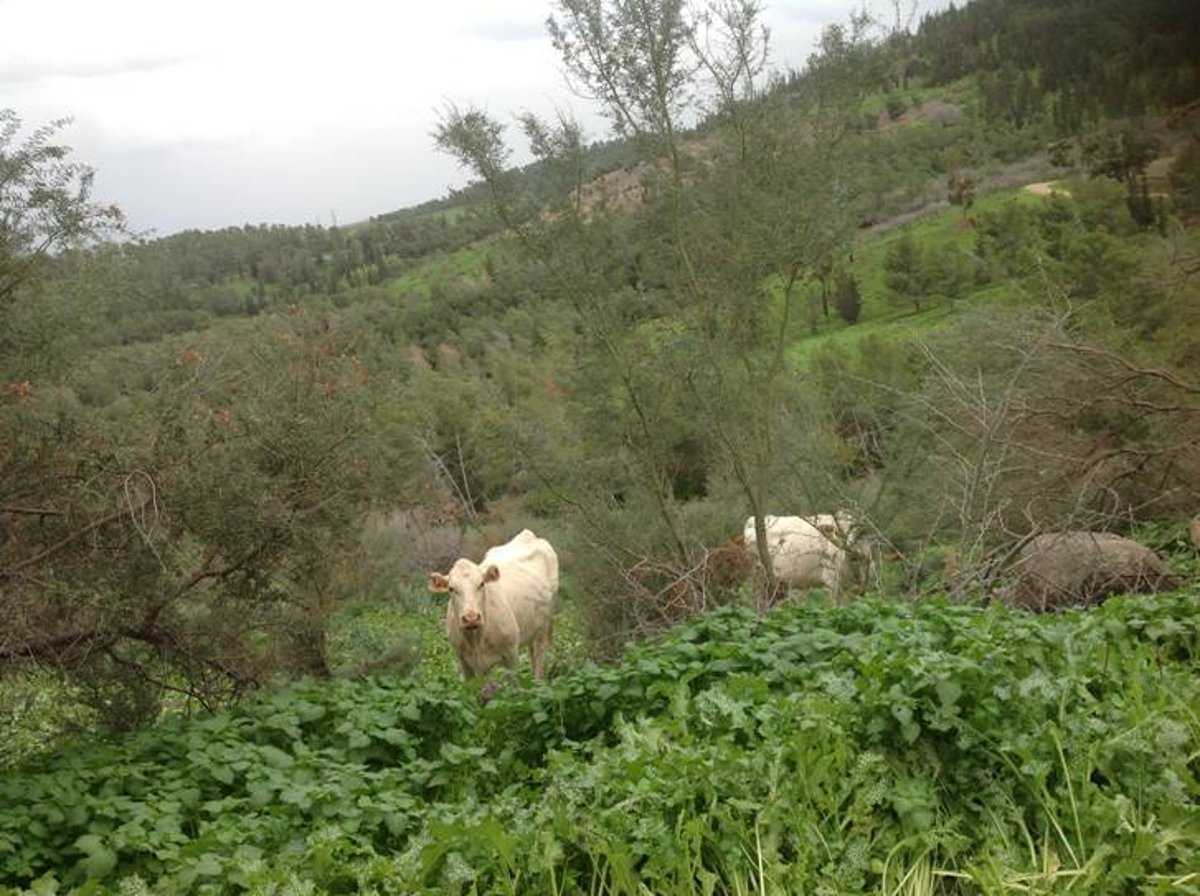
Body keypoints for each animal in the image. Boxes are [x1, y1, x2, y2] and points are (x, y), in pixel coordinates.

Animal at [429, 525, 559, 681]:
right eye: (451, 589)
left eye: (481, 584)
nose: (471, 618)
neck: (476, 640)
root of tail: (527, 535)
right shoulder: (464, 661)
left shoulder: (511, 655)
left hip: (543, 628)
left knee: (538, 658)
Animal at [739, 515, 873, 599]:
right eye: (837, 533)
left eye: (857, 535)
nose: (847, 548)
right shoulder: (832, 582)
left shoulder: (862, 587)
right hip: (757, 576)